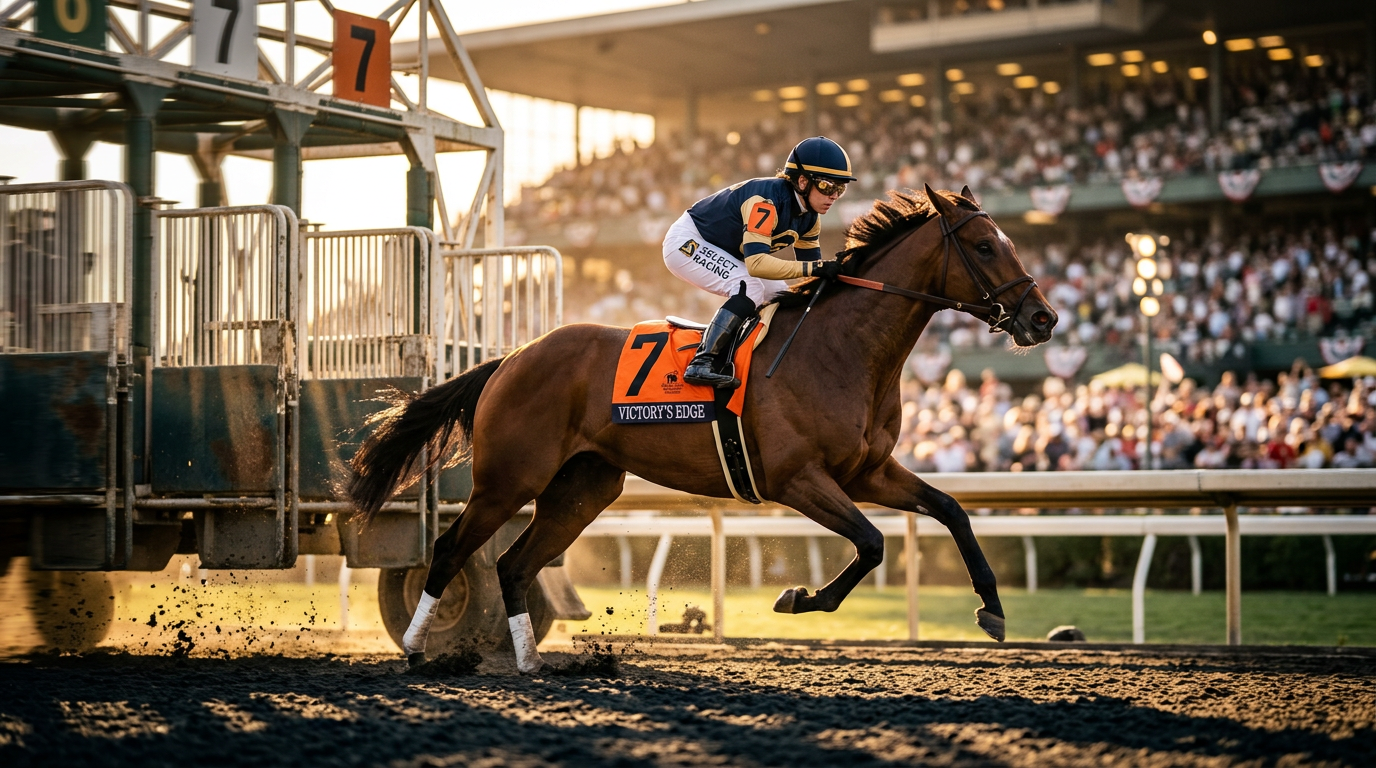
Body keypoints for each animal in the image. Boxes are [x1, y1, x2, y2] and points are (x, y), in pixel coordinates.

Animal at [347, 184, 1058, 672]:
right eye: (986, 246)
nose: (1044, 318)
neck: (842, 349)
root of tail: (512, 356)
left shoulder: (869, 472)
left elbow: (950, 510)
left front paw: (992, 609)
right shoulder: (796, 479)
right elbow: (873, 543)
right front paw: (798, 598)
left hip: (582, 489)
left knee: (515, 565)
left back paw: (527, 662)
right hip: (508, 480)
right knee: (450, 550)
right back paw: (416, 648)